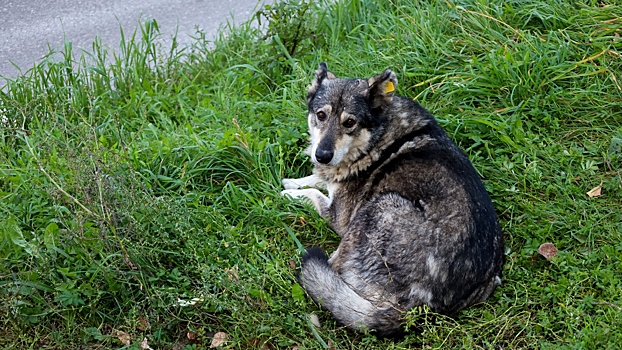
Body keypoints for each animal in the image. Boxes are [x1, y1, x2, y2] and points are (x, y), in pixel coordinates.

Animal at [282, 63, 508, 336]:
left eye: (350, 122)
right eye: (321, 115)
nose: (322, 154)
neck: (376, 137)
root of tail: (419, 305)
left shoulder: (339, 217)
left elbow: (315, 193)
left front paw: (289, 194)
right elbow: (317, 180)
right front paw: (292, 181)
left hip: (380, 205)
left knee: (333, 267)